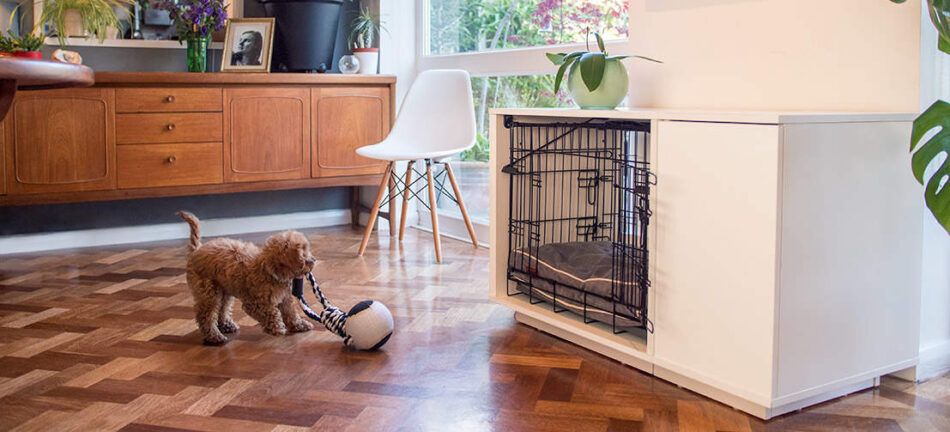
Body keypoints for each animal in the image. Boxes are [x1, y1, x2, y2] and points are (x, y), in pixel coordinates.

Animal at [177, 212, 314, 344]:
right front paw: (277, 327)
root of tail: (196, 251)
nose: (313, 260)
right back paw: (214, 337)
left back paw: (226, 326)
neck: (269, 269)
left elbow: (291, 313)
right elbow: (272, 312)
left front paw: (300, 325)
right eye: (303, 253)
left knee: (222, 308)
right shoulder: (254, 303)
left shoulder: (284, 298)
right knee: (206, 316)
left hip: (223, 291)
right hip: (209, 293)